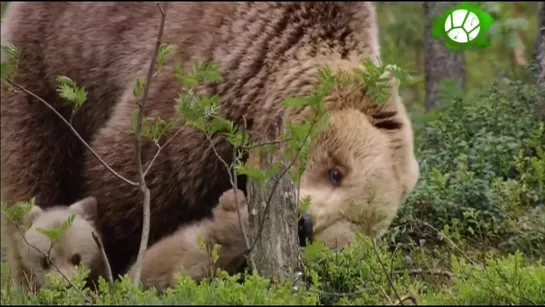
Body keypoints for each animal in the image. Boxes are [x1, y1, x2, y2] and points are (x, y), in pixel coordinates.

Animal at [0, 1, 418, 284]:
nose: (304, 223)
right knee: (33, 169)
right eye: (336, 171)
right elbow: (127, 192)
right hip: (49, 70)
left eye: (353, 222)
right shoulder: (193, 91)